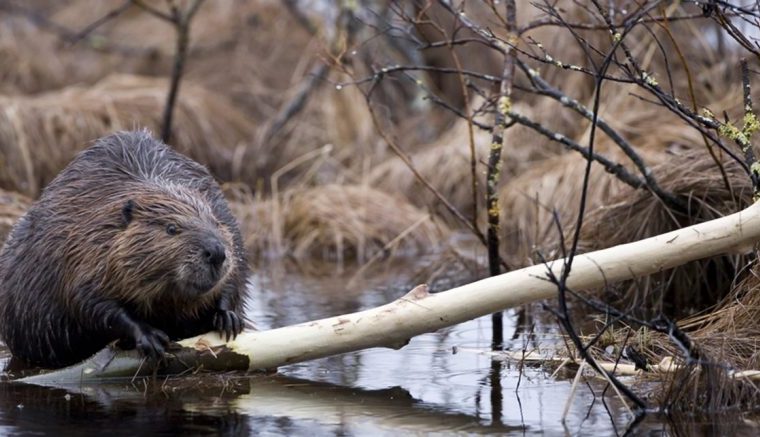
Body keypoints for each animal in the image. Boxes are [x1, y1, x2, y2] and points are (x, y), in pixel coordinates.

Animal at [0, 130, 249, 368]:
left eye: (216, 222)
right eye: (171, 228)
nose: (216, 252)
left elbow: (234, 277)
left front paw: (227, 317)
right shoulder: (82, 249)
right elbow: (89, 302)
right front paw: (150, 337)